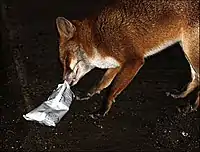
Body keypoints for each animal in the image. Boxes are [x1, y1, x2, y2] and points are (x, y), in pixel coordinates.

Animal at [55, 0, 199, 116]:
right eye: (63, 61)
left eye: (66, 59)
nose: (63, 80)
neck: (97, 38)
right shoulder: (116, 64)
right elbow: (102, 83)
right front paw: (89, 94)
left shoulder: (133, 61)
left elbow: (111, 89)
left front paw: (102, 110)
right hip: (185, 48)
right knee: (196, 79)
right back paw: (181, 95)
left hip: (190, 51)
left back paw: (192, 106)